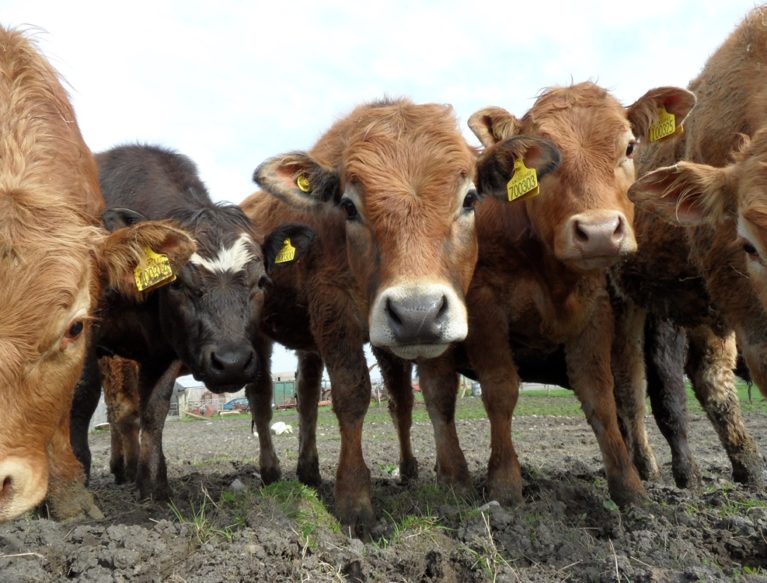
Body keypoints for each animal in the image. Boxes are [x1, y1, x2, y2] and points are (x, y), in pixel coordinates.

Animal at [69, 144, 313, 501]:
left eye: (262, 281)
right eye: (177, 283)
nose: (231, 363)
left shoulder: (167, 349)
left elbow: (154, 410)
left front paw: (154, 487)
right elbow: (81, 400)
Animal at [241, 97, 562, 537]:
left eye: (470, 199)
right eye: (348, 206)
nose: (416, 313)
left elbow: (431, 395)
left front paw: (450, 479)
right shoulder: (334, 311)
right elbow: (352, 394)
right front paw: (354, 499)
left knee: (307, 395)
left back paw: (311, 470)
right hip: (258, 332)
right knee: (261, 398)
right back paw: (272, 470)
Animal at [414, 82, 695, 507]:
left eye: (630, 146)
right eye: (540, 160)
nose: (599, 231)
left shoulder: (595, 310)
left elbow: (600, 394)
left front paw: (630, 488)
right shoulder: (485, 307)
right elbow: (500, 389)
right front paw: (505, 483)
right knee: (438, 397)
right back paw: (452, 478)